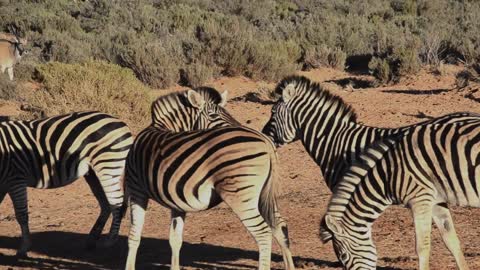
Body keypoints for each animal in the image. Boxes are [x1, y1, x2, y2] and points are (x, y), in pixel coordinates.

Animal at [0, 110, 132, 256]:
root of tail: (121, 122)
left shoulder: (16, 179)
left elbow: (21, 214)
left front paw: (24, 248)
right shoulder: (3, 184)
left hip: (108, 165)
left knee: (117, 202)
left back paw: (110, 240)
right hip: (93, 173)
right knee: (106, 204)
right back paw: (92, 240)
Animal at [125, 87, 294, 270]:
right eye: (213, 115)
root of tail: (266, 141)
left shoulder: (136, 190)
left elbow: (134, 235)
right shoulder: (176, 200)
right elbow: (175, 239)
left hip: (240, 195)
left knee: (263, 233)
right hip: (263, 194)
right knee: (280, 226)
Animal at [318, 117, 480, 270]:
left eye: (344, 256)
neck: (388, 174)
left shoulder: (420, 200)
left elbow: (422, 247)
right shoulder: (436, 201)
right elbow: (451, 240)